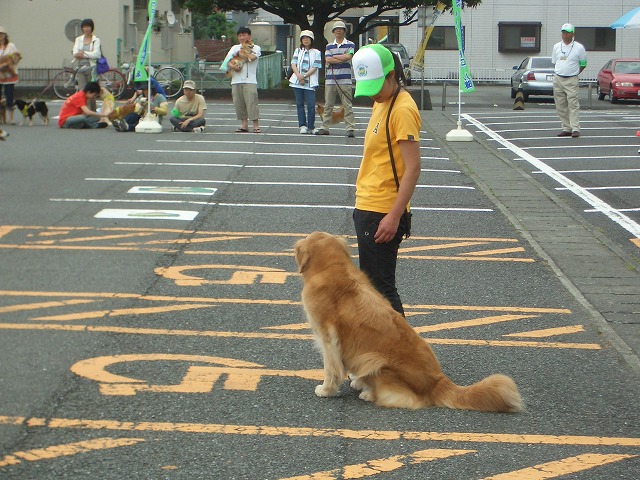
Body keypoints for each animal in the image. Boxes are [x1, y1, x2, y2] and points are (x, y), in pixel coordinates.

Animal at [296, 232, 524, 412]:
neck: (333, 267)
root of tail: (437, 381)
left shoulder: (327, 338)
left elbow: (331, 368)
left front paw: (326, 390)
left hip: (375, 360)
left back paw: (369, 393)